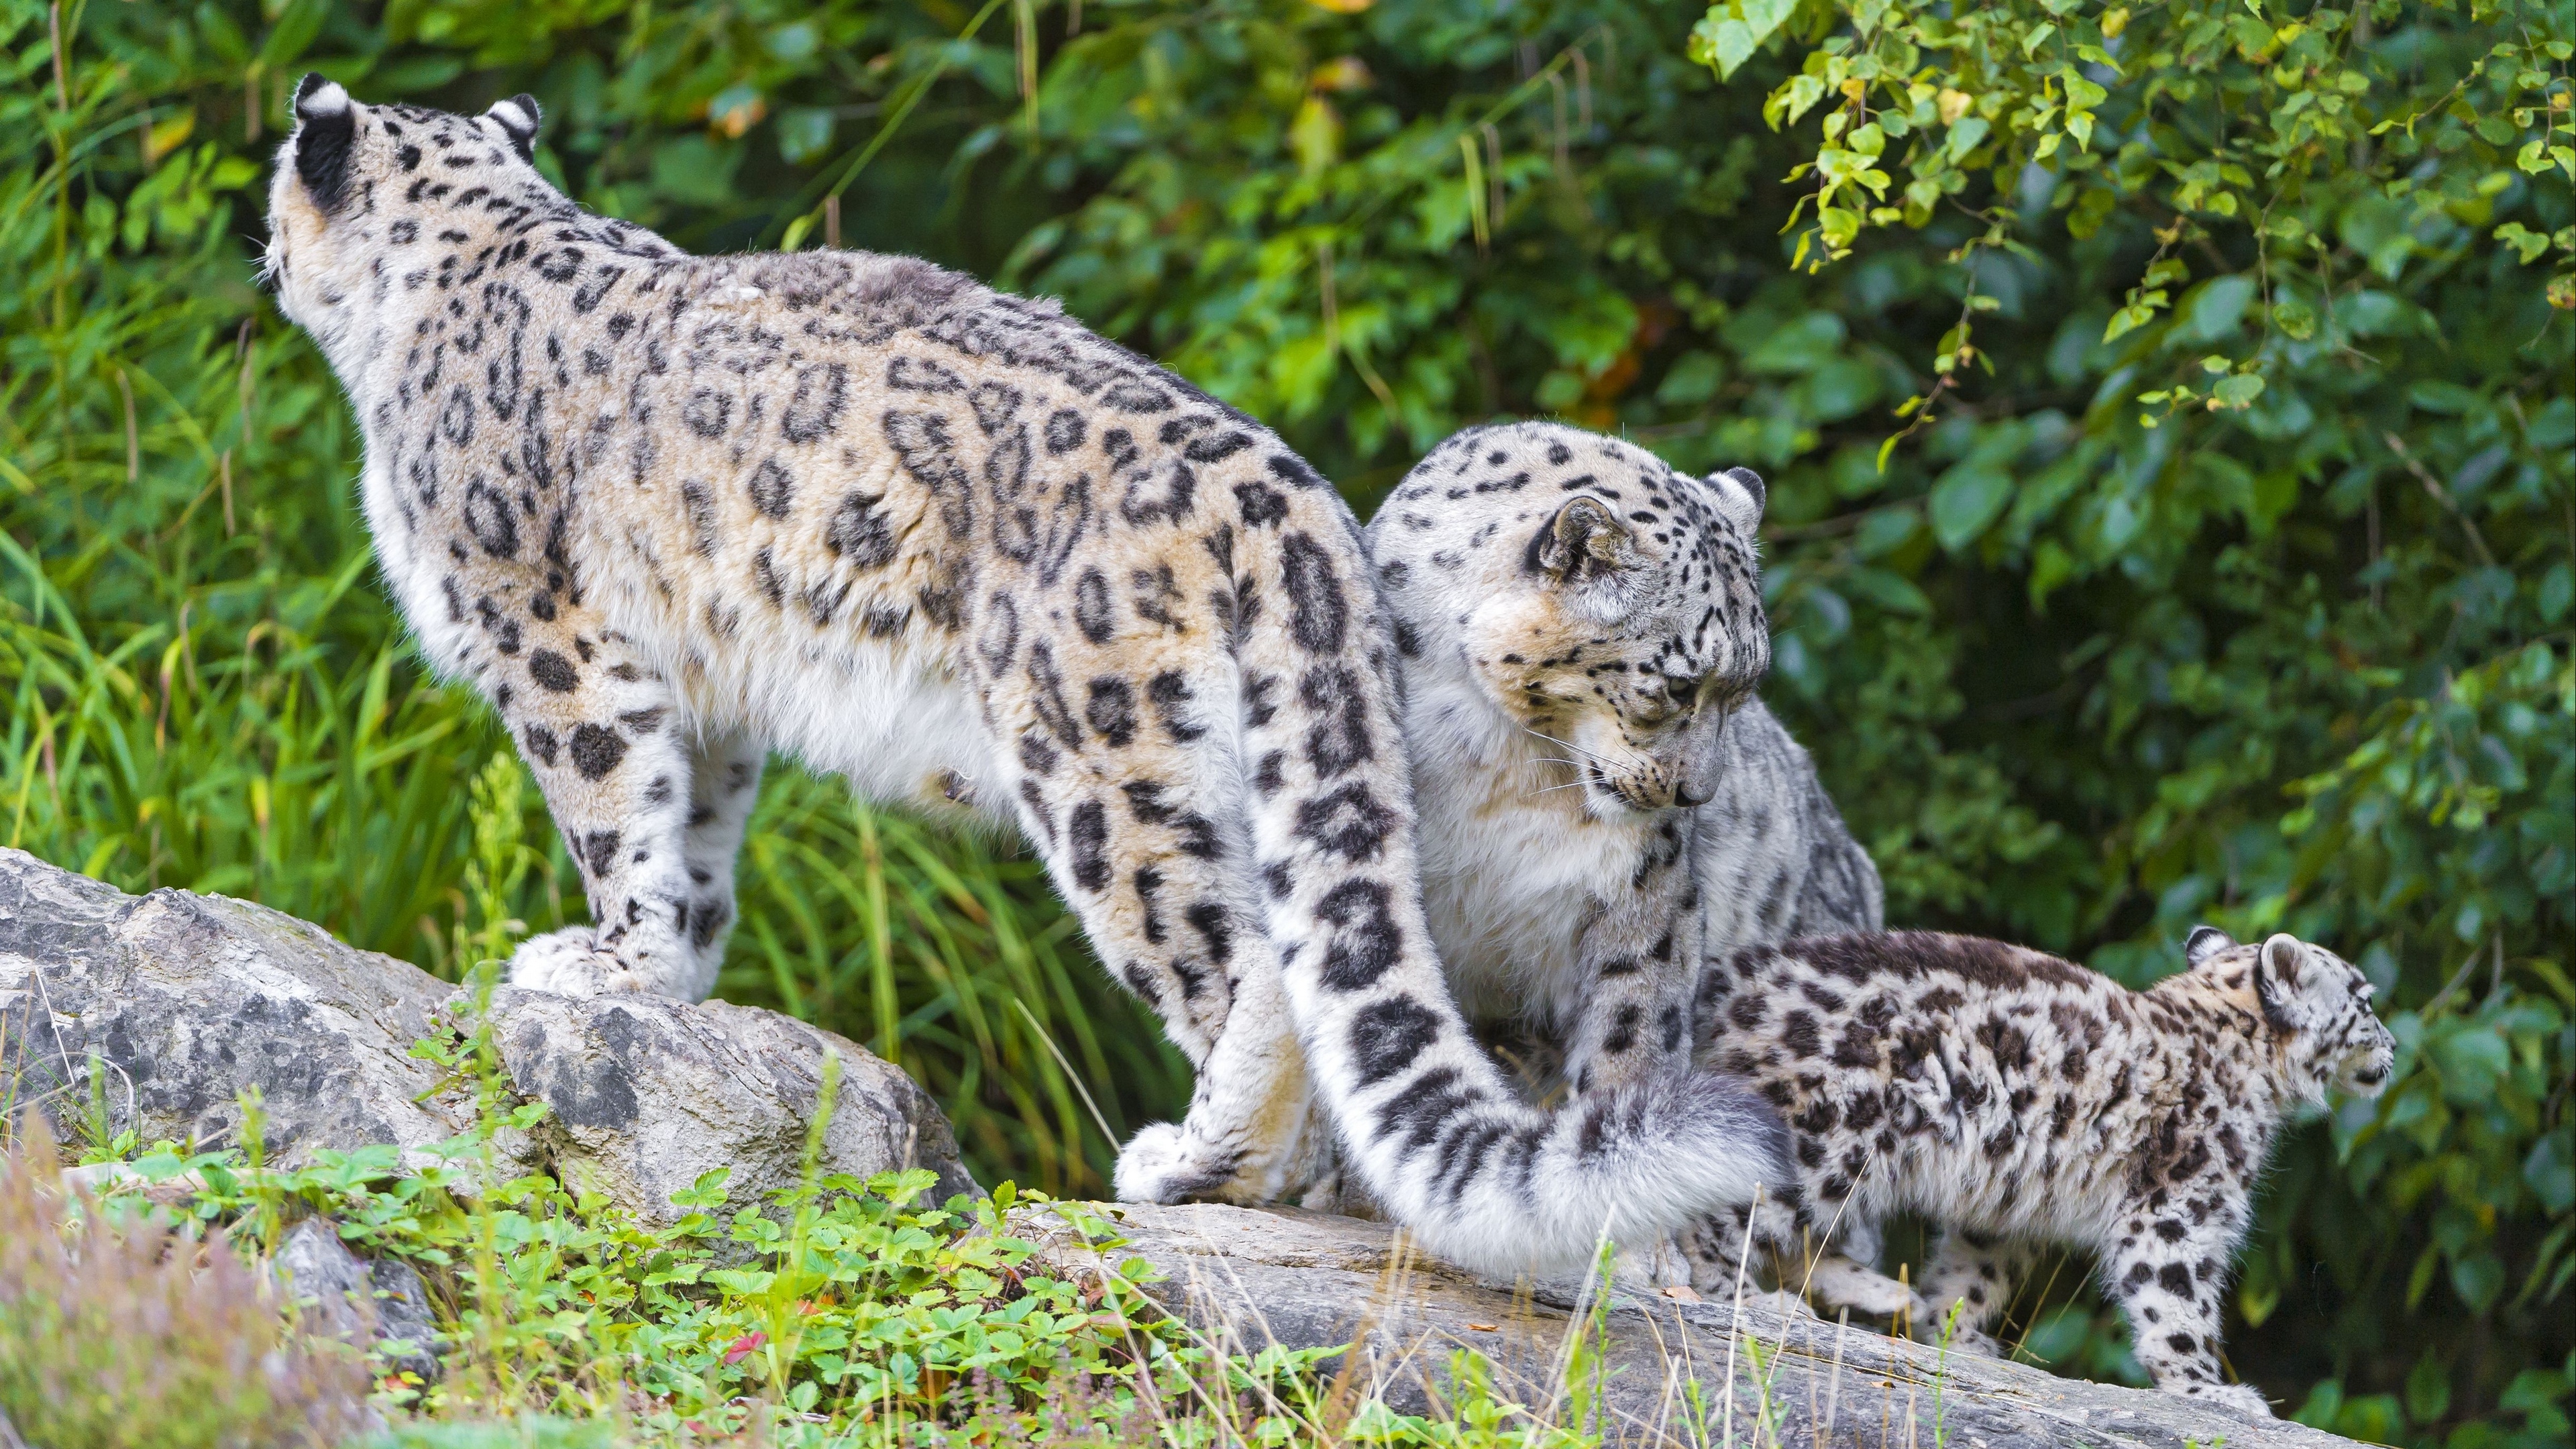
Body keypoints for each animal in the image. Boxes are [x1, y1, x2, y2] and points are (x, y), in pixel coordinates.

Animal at [266, 73, 1792, 1268]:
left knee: (1248, 961)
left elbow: (611, 809)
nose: (259, 255)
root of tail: (1289, 494)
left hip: (1101, 761)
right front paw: (677, 978)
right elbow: (693, 836)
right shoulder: (709, 693)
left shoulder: (549, 639)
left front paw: (599, 966)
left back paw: (1195, 1165)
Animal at [1690, 922, 2390, 1413]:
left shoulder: (2004, 1208)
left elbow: (1972, 1273)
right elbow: (2176, 1300)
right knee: (1717, 1218)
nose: (2392, 1044)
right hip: (1823, 1142)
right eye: (2364, 999)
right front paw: (2209, 1391)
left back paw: (1881, 1294)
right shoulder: (2179, 1203)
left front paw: (1954, 1336)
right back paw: (1742, 1298)